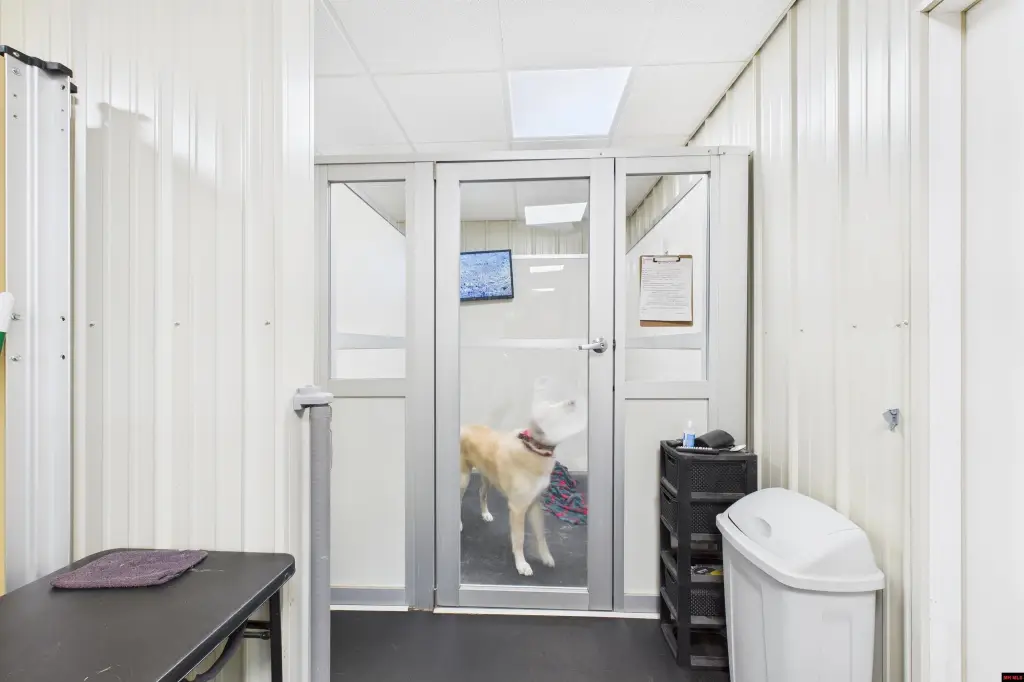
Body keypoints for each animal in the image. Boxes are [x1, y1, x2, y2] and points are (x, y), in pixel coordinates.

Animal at [459, 395, 585, 577]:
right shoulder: (518, 508)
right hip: (463, 478)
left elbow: (541, 535)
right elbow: (519, 539)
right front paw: (521, 564)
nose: (573, 401)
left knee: (482, 493)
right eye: (550, 410)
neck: (535, 449)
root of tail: (463, 426)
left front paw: (546, 557)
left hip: (488, 477)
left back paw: (486, 514)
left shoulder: (534, 504)